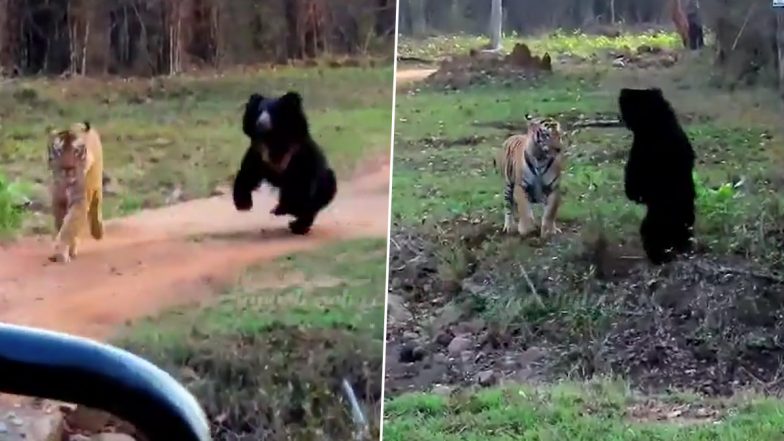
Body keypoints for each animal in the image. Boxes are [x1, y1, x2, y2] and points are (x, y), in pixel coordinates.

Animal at [47, 121, 104, 262]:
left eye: (76, 151)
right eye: (59, 151)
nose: (68, 168)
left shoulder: (80, 200)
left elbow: (69, 226)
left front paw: (61, 253)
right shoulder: (58, 201)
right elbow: (62, 224)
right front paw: (68, 249)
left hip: (96, 186)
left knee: (96, 206)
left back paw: (97, 232)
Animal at [230, 89, 334, 234]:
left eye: (273, 112)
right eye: (259, 111)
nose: (261, 123)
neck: (274, 137)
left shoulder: (298, 153)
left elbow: (301, 182)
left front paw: (290, 208)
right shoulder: (259, 153)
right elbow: (247, 173)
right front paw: (243, 204)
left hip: (324, 183)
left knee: (314, 201)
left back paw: (295, 222)